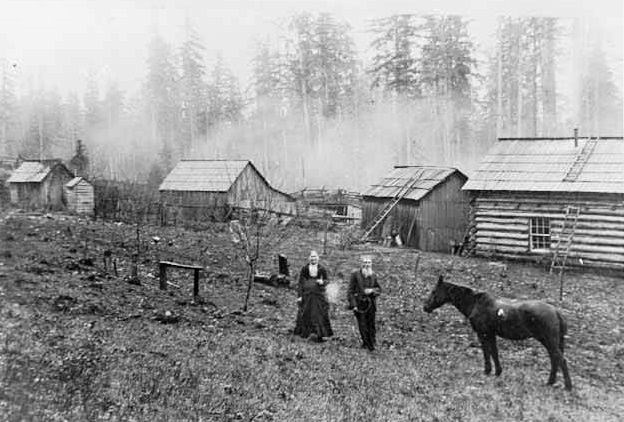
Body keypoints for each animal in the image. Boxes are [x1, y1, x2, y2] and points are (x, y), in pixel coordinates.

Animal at [424, 276, 572, 390]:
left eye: (434, 291)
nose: (425, 307)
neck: (476, 303)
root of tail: (556, 312)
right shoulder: (491, 334)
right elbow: (494, 352)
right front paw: (497, 372)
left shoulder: (483, 333)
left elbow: (486, 352)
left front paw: (487, 371)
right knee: (555, 360)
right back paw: (550, 382)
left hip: (548, 341)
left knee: (560, 360)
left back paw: (568, 386)